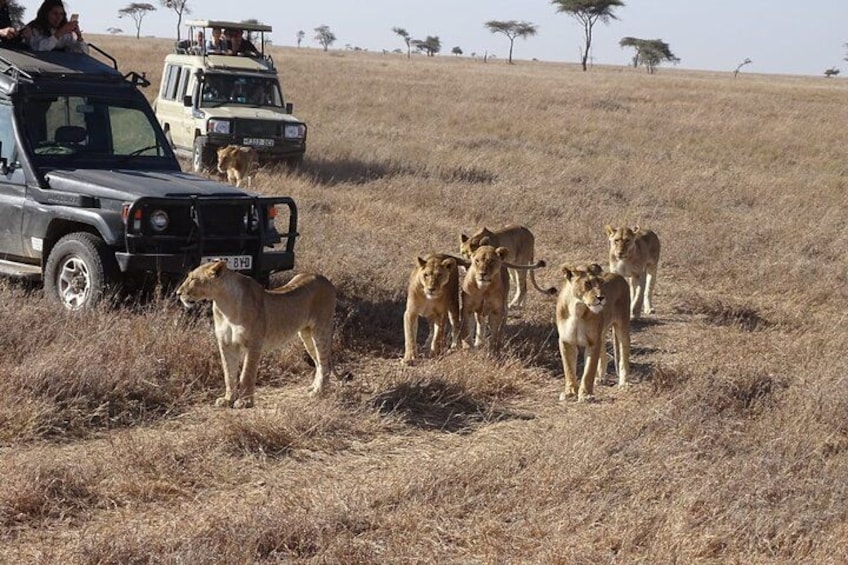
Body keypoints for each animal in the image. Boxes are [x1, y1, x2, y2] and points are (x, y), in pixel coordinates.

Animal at [176, 261, 337, 407]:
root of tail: (326, 280)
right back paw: (314, 387)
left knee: (324, 363)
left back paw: (318, 392)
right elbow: (228, 373)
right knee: (318, 362)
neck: (224, 305)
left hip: (321, 331)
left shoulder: (253, 343)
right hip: (306, 335)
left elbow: (246, 374)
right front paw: (227, 399)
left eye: (193, 279)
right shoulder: (226, 344)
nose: (178, 293)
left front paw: (244, 402)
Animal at [556, 263, 631, 402]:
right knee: (604, 353)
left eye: (601, 282)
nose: (601, 298)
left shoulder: (593, 342)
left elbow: (589, 371)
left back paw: (623, 383)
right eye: (587, 283)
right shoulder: (566, 341)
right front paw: (570, 393)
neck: (577, 309)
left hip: (622, 326)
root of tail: (617, 275)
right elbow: (568, 369)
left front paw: (586, 395)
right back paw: (600, 378)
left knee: (624, 355)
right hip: (601, 333)